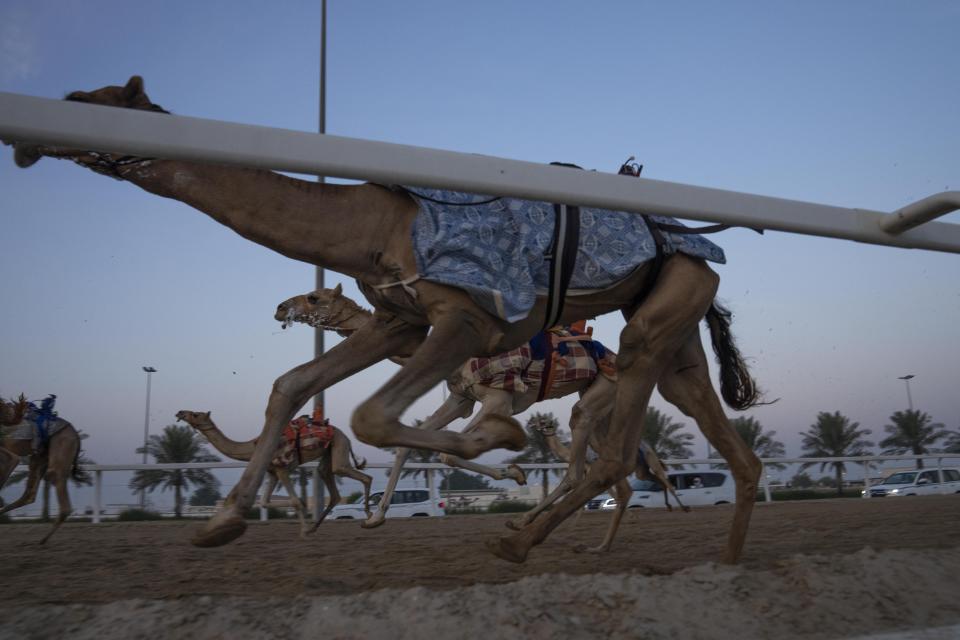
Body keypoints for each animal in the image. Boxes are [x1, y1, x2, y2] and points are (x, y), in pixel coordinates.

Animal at [0, 392, 82, 544]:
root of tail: (76, 436)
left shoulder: (11, 455)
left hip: (59, 452)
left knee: (61, 498)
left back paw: (43, 539)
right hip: (39, 457)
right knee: (29, 494)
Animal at [174, 410, 370, 536]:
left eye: (196, 414)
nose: (180, 412)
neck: (253, 448)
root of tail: (346, 436)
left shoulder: (282, 469)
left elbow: (294, 501)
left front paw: (304, 530)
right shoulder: (272, 473)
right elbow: (264, 502)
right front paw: (307, 526)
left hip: (339, 446)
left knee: (363, 476)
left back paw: (368, 518)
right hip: (329, 453)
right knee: (331, 486)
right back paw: (316, 526)